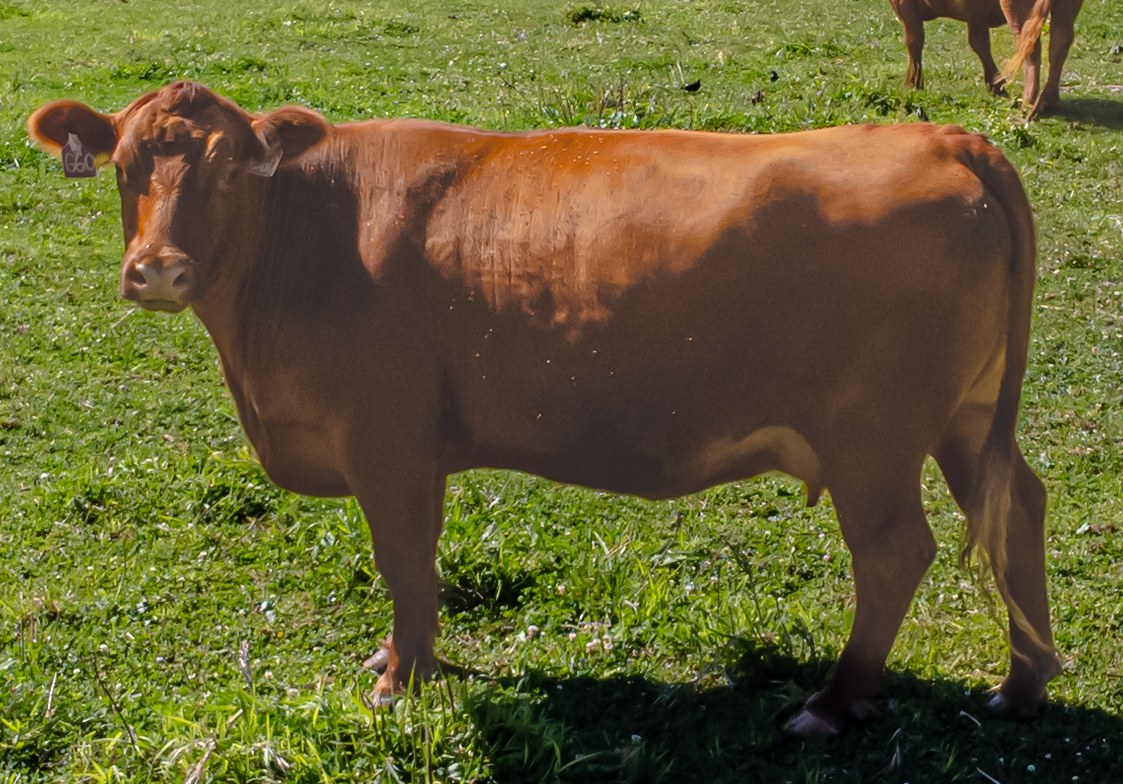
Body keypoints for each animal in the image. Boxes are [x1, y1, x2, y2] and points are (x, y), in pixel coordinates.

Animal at [28, 81, 1060, 736]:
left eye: (227, 170)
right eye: (125, 165)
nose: (159, 270)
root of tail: (944, 138)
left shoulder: (387, 439)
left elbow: (406, 563)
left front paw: (403, 680)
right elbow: (416, 566)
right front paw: (401, 663)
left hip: (872, 439)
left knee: (894, 553)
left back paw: (836, 703)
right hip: (967, 419)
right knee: (1017, 509)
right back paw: (1021, 685)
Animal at [888, 0, 1084, 115]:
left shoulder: (904, 7)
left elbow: (914, 41)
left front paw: (912, 86)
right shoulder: (975, 15)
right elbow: (979, 43)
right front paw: (997, 85)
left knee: (1030, 43)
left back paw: (1028, 102)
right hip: (1066, 7)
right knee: (1060, 39)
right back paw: (1049, 100)